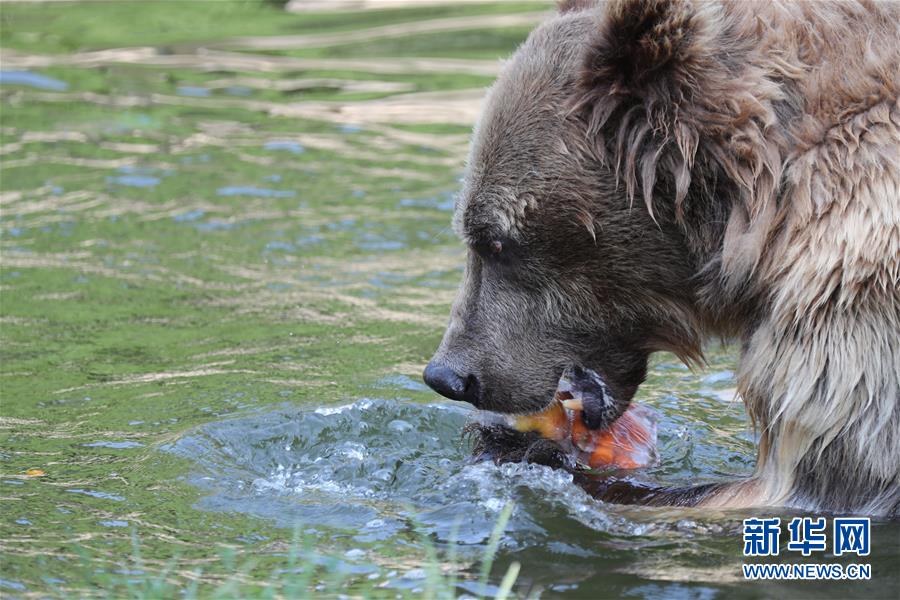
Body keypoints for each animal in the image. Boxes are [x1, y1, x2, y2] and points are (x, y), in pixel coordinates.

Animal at [424, 0, 900, 516]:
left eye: (495, 242)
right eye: (471, 230)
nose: (447, 376)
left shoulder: (848, 297)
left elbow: (819, 478)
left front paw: (518, 444)